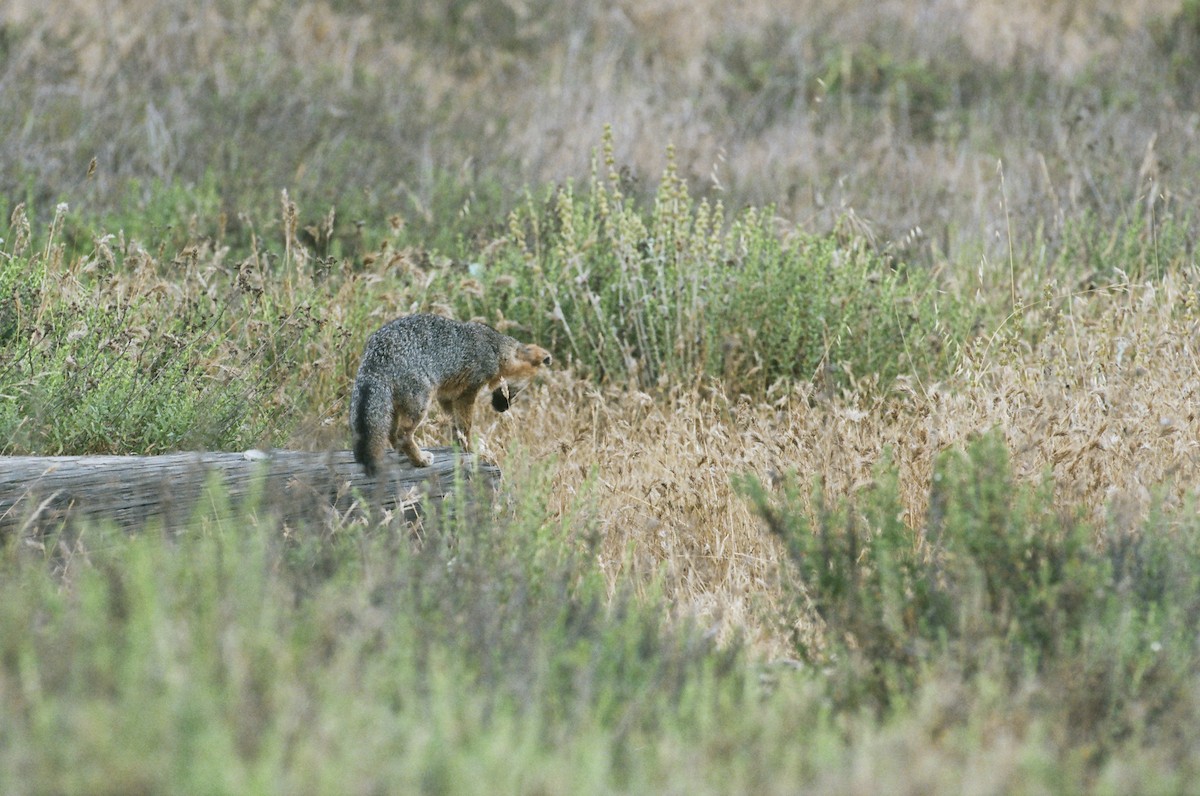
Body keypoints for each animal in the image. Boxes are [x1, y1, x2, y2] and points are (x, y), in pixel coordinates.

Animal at [349, 313, 552, 475]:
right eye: (513, 391)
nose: (504, 409)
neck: (493, 348)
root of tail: (377, 353)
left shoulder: (446, 395)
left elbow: (455, 425)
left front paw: (459, 446)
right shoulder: (468, 393)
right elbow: (465, 426)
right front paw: (471, 449)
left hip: (395, 405)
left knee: (391, 433)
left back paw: (404, 454)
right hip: (420, 404)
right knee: (402, 434)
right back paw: (420, 460)